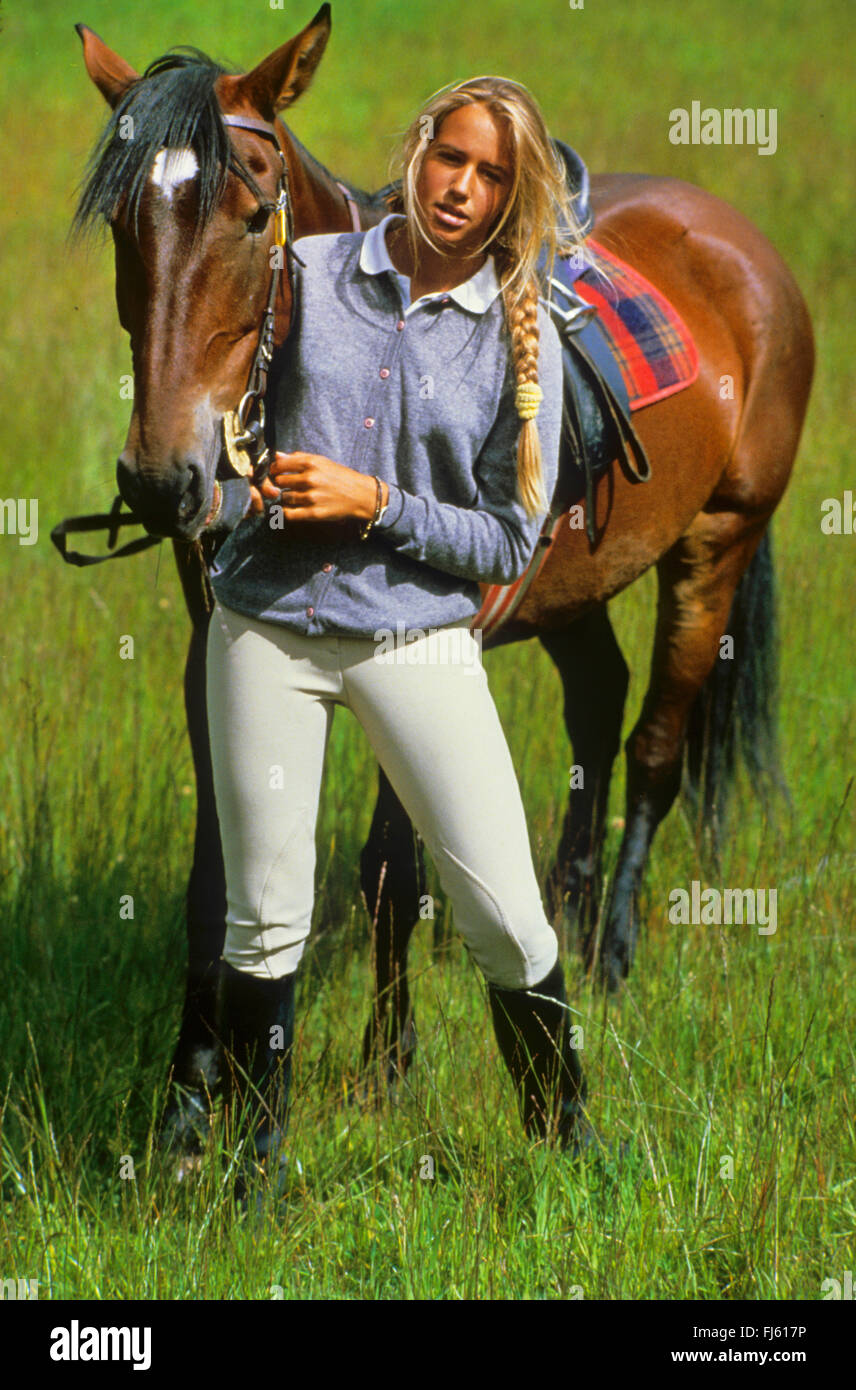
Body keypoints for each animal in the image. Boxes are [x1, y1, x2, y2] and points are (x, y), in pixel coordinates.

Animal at [70, 8, 811, 1162]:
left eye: (251, 215)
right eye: (122, 224)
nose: (161, 477)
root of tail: (740, 245)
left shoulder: (413, 646)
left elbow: (390, 869)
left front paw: (387, 1068)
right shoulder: (214, 645)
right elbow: (220, 867)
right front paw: (189, 1097)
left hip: (716, 546)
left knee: (654, 748)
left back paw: (611, 954)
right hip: (581, 586)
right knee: (598, 706)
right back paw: (568, 910)